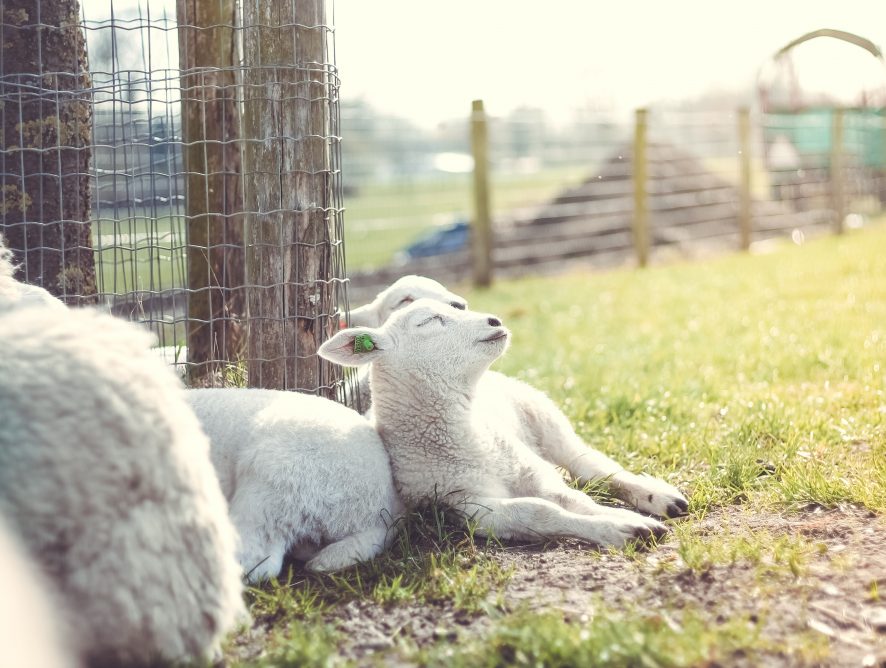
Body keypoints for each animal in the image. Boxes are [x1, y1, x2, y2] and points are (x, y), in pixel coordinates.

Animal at [324, 302, 680, 548]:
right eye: (428, 321)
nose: (494, 320)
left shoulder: (531, 470)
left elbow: (574, 500)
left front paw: (626, 519)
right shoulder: (467, 507)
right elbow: (540, 511)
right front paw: (623, 528)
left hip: (543, 415)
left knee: (591, 467)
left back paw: (659, 497)